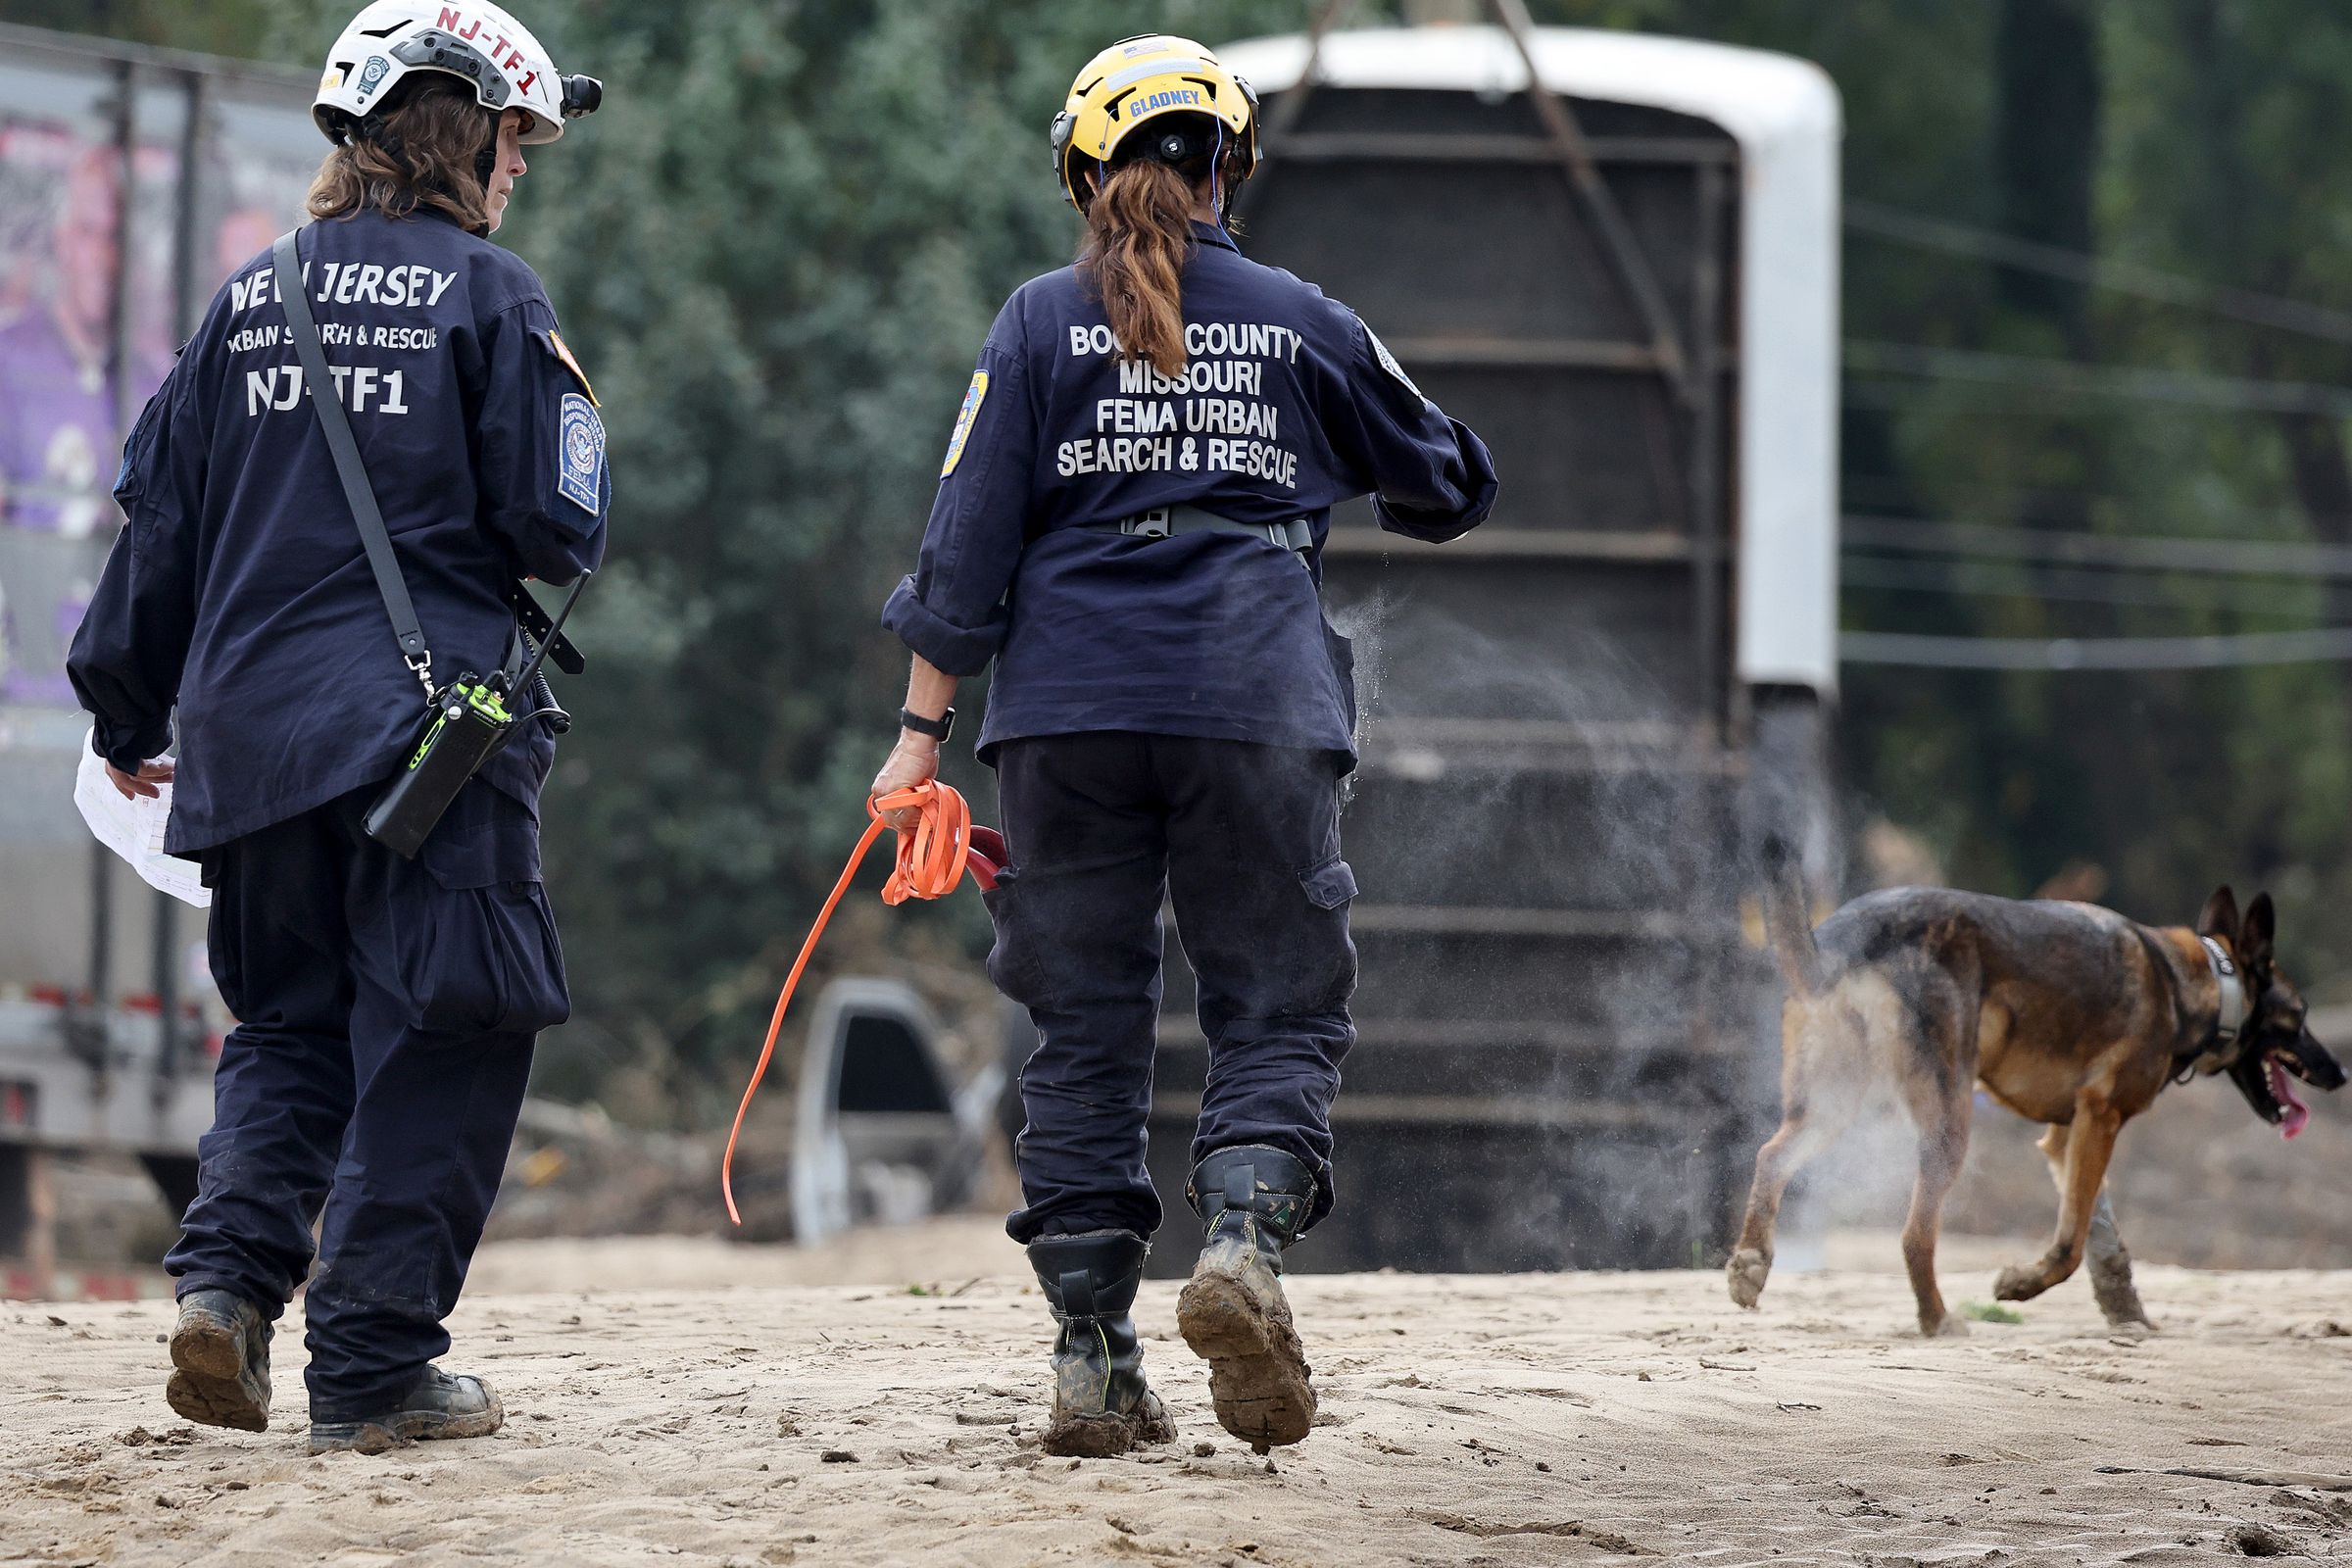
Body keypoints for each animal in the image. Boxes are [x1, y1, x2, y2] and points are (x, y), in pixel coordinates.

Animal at [1721, 869, 2342, 1335]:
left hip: (1830, 1106)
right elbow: (2069, 1247)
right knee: (1915, 1235)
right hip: (1948, 1124)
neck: (2202, 980)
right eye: (2301, 1016)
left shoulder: (2071, 1135)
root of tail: (1852, 936)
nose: (2340, 1074)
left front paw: (2128, 1316)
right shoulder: (2100, 1118)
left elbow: (2100, 1236)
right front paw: (2021, 1285)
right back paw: (1937, 1321)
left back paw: (1750, 1266)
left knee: (1771, 1157)